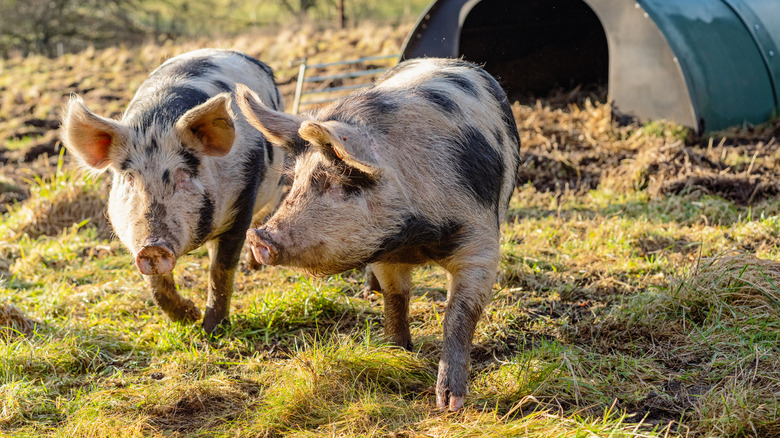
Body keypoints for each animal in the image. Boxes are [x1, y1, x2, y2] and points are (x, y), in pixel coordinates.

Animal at [60, 48, 286, 332]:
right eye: (130, 178)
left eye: (183, 174)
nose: (152, 247)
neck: (156, 124)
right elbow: (156, 284)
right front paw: (189, 317)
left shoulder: (242, 199)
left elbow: (220, 270)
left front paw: (212, 329)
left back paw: (254, 265)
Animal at [235, 58, 520, 410]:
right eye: (296, 180)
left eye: (336, 181)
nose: (257, 237)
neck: (415, 237)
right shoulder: (384, 252)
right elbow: (396, 298)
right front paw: (396, 352)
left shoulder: (480, 244)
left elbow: (459, 314)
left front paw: (450, 403)